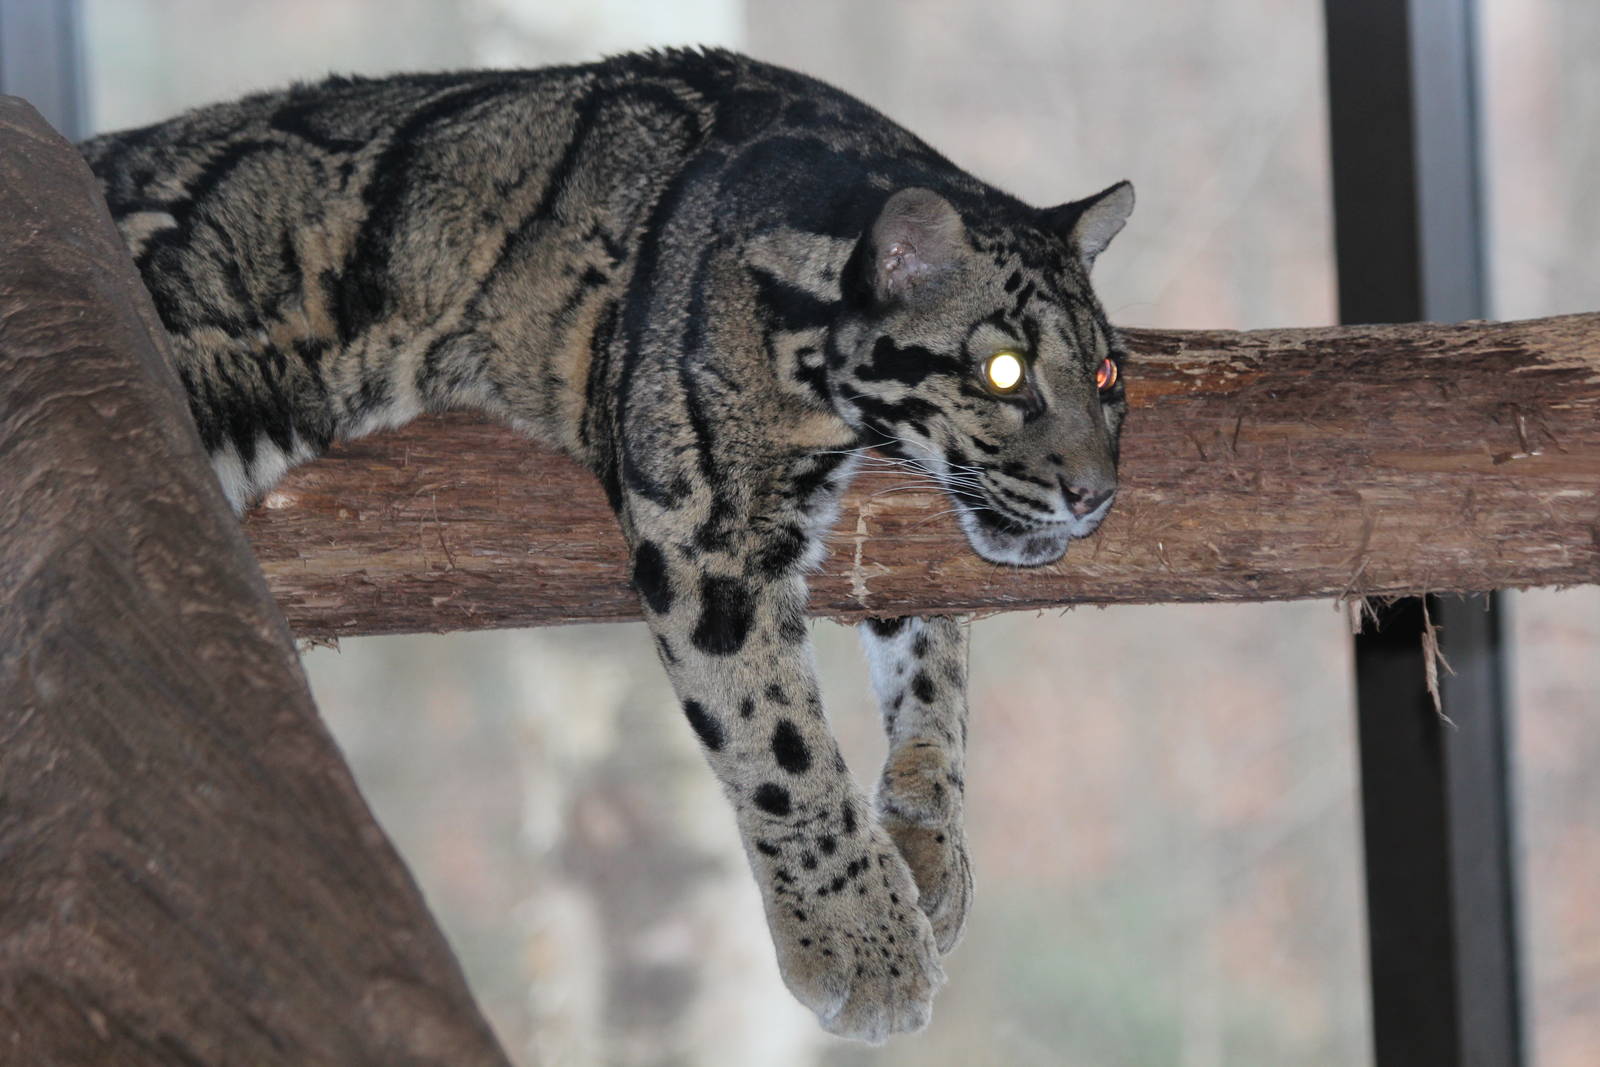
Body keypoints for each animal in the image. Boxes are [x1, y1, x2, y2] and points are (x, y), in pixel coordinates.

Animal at [78, 47, 1133, 1043]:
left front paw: (926, 828)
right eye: (1005, 372)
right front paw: (859, 936)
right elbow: (777, 738)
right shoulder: (704, 527)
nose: (1096, 494)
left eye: (1108, 374)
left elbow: (936, 662)